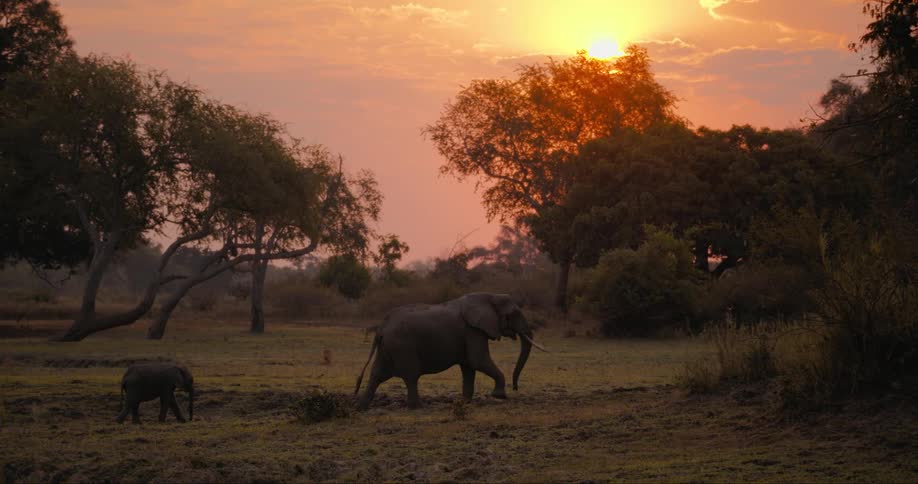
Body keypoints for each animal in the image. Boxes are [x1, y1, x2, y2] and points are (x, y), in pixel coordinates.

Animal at [354, 292, 547, 409]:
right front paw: (499, 396)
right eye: (514, 314)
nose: (515, 388)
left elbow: (469, 366)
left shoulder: (469, 333)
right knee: (411, 375)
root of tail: (382, 327)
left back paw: (361, 407)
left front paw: (465, 403)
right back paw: (419, 407)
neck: (489, 296)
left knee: (377, 374)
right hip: (402, 346)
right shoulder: (472, 330)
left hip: (387, 347)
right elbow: (478, 360)